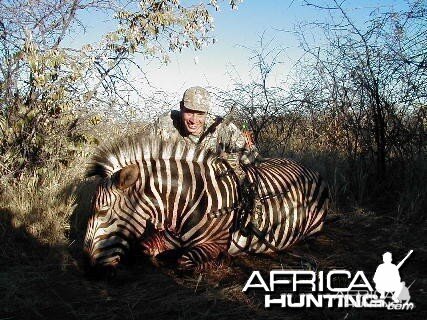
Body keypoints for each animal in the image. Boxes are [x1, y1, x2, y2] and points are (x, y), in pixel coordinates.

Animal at [83, 136, 330, 274]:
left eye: (102, 211)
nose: (87, 267)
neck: (189, 201)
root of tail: (311, 169)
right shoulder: (167, 236)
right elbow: (145, 248)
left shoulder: (214, 243)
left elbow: (184, 261)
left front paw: (221, 261)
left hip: (310, 229)